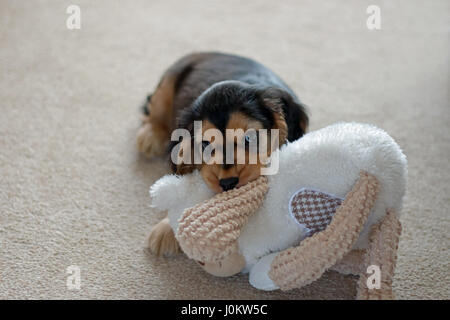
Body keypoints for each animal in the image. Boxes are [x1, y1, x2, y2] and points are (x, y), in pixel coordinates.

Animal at [140, 53, 310, 258]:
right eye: (205, 144)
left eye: (249, 138)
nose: (228, 183)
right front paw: (167, 228)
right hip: (167, 84)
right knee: (156, 112)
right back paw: (150, 136)